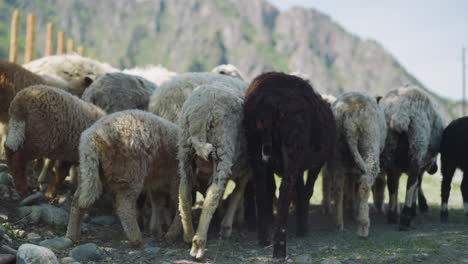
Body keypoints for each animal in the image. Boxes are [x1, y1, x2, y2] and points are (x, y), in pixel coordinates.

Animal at [66, 110, 181, 248]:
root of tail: (92, 136)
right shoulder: (176, 179)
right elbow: (179, 204)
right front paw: (171, 233)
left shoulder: (158, 182)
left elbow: (159, 203)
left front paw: (158, 230)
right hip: (129, 172)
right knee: (124, 206)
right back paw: (137, 239)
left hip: (92, 173)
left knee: (78, 201)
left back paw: (72, 235)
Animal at [178, 84, 252, 260]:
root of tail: (201, 111)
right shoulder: (247, 169)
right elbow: (238, 191)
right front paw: (227, 225)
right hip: (222, 149)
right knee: (212, 196)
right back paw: (198, 244)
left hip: (185, 151)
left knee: (184, 192)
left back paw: (188, 234)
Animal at [324, 91, 386, 237]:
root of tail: (349, 119)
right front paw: (355, 212)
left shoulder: (351, 168)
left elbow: (351, 186)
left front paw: (352, 210)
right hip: (369, 145)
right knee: (364, 185)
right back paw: (363, 226)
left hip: (336, 155)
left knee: (338, 188)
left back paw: (339, 224)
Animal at [378, 84, 444, 229]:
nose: (434, 169)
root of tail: (401, 110)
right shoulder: (421, 163)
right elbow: (417, 183)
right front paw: (416, 208)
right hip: (417, 144)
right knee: (411, 182)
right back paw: (405, 218)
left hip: (389, 147)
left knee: (392, 184)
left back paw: (392, 216)